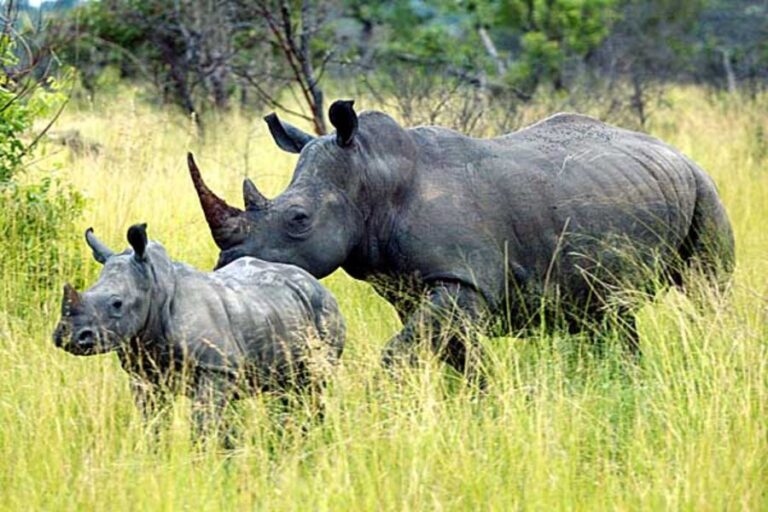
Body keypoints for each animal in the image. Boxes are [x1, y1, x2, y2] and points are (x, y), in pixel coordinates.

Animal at [53, 223, 344, 436]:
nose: (68, 336)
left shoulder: (218, 367)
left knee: (312, 386)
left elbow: (203, 421)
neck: (156, 287)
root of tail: (315, 282)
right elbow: (152, 419)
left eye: (117, 304)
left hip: (325, 315)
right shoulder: (143, 371)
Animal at [188, 100, 734, 380]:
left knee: (707, 289)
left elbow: (404, 351)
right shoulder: (421, 288)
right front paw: (483, 403)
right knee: (609, 311)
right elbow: (455, 353)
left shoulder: (463, 279)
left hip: (704, 187)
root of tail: (674, 151)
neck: (370, 179)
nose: (228, 267)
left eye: (298, 219)